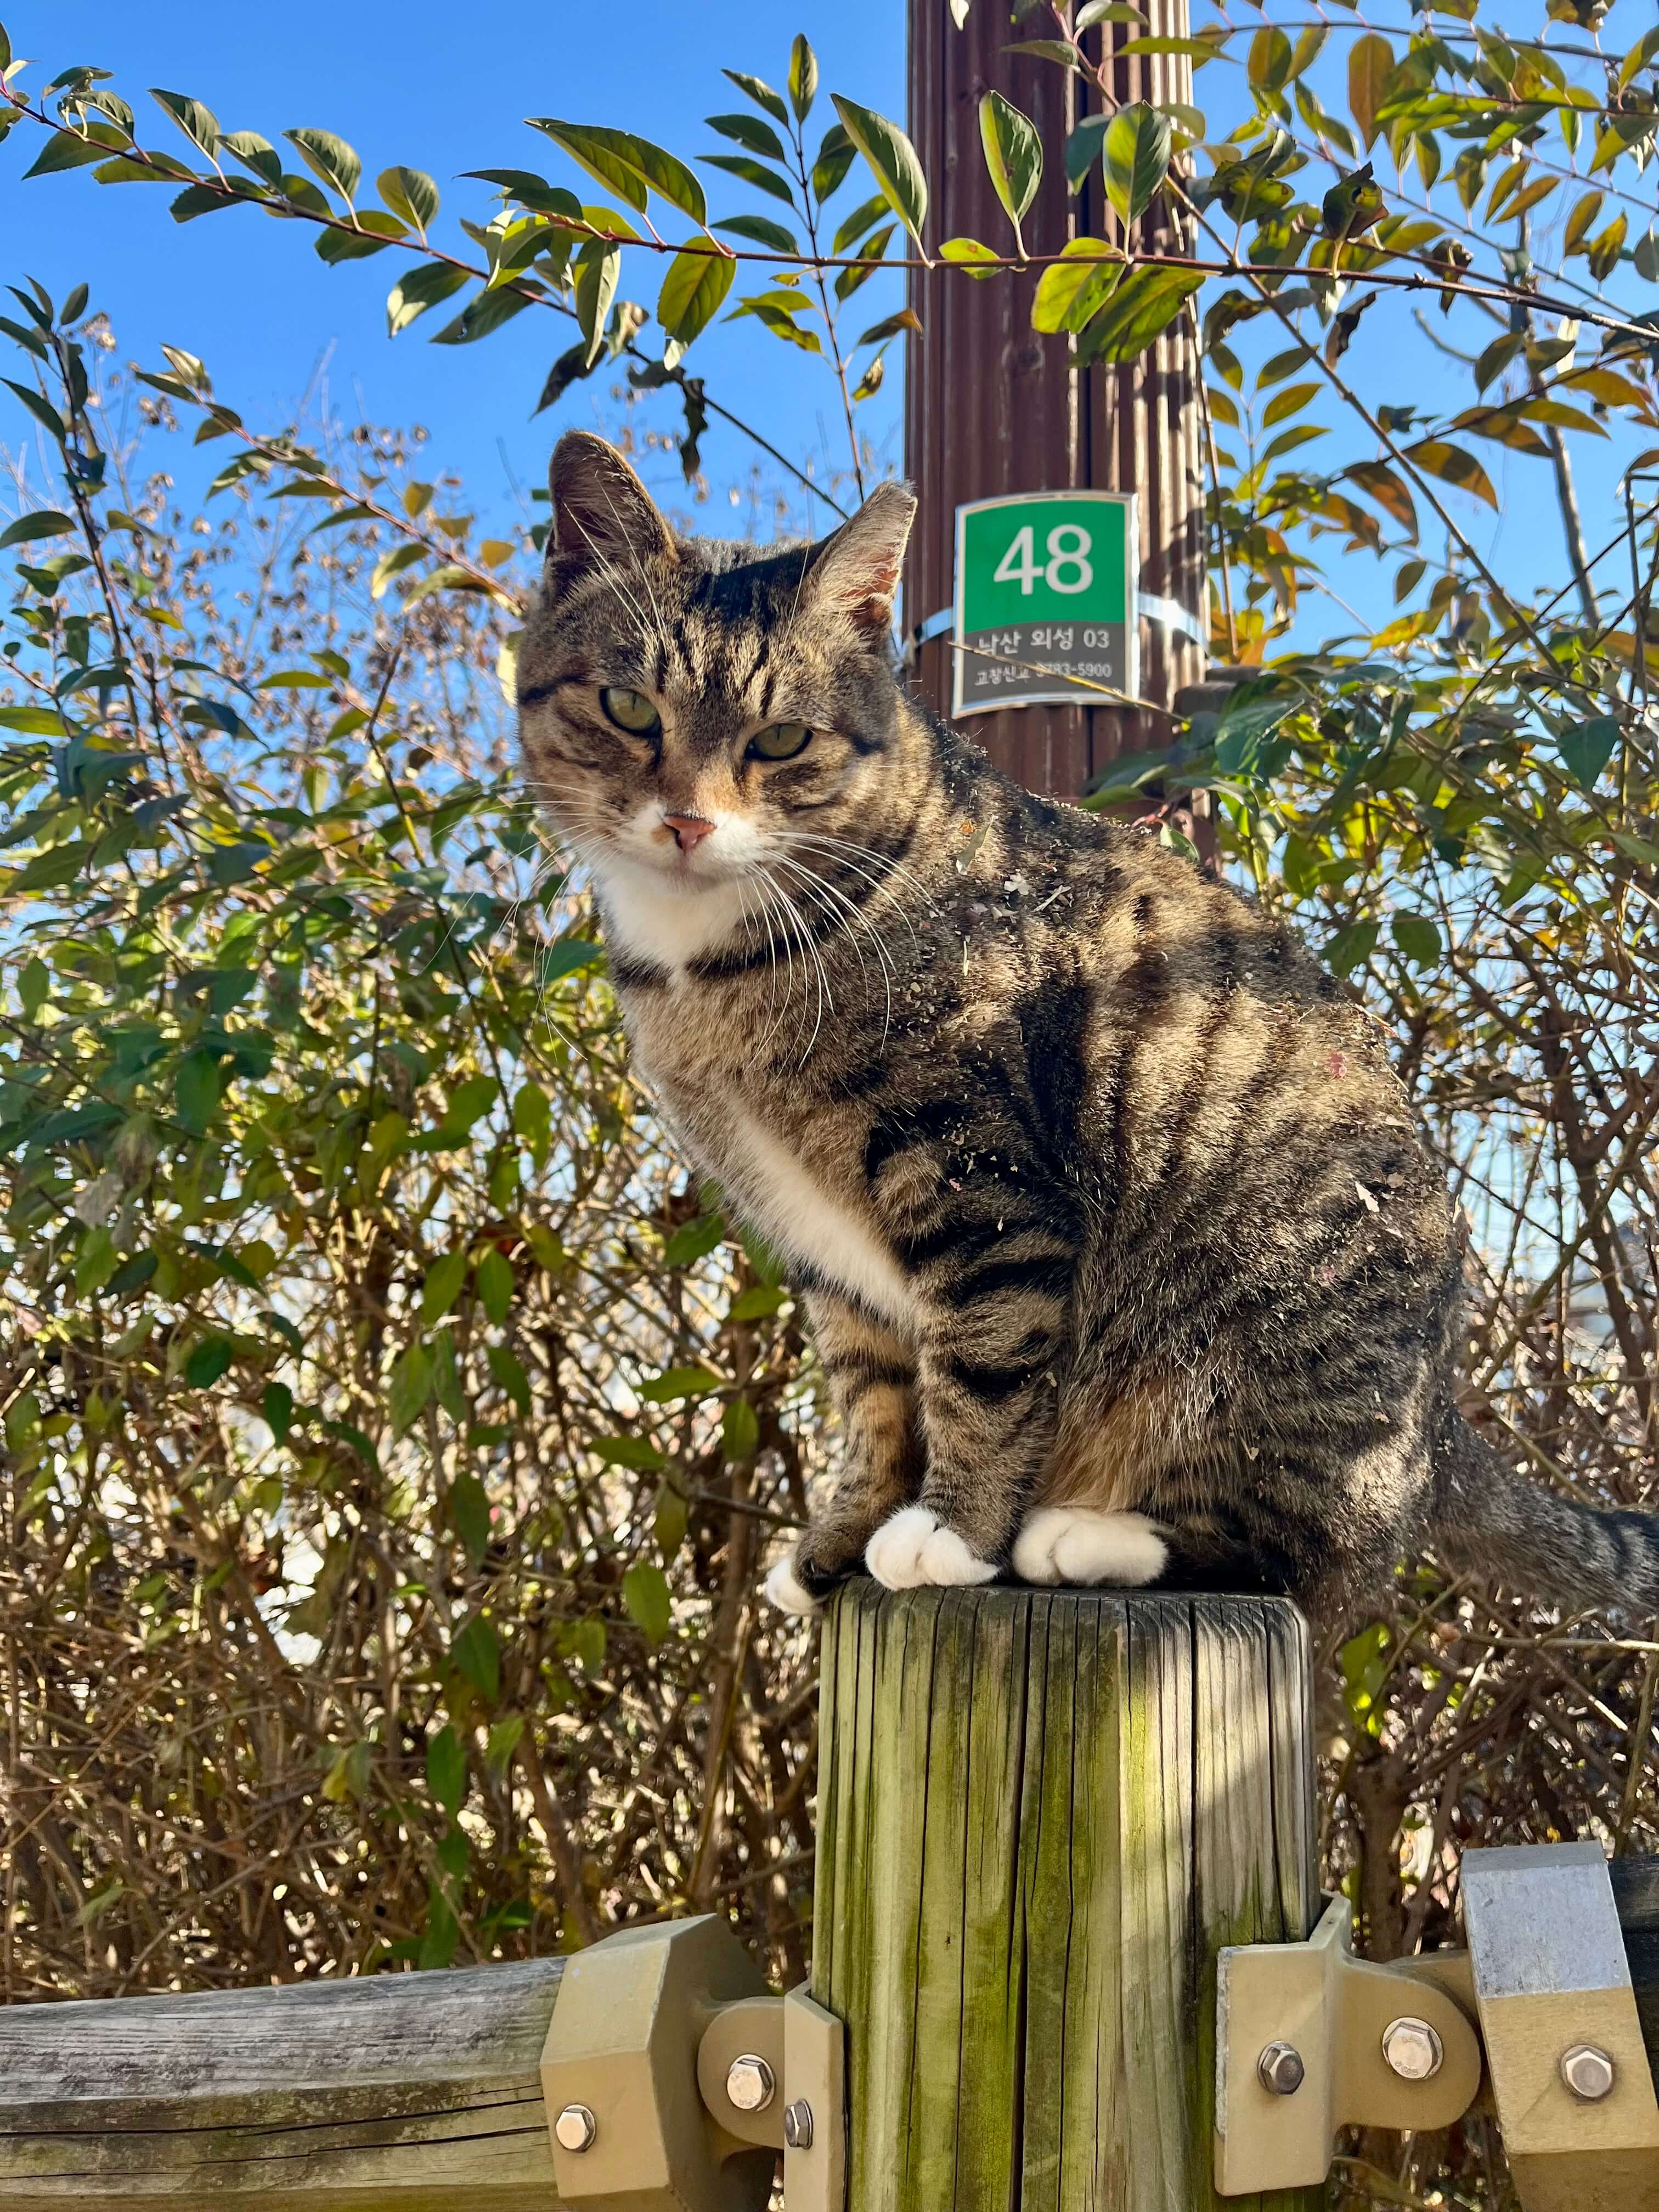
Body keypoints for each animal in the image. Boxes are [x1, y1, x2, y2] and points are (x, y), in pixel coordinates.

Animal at [522, 436, 1659, 1628]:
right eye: (627, 708)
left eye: (780, 738)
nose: (688, 823)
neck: (716, 959)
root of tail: (1439, 1419)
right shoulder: (828, 1259)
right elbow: (872, 1395)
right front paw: (843, 1536)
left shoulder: (975, 1177)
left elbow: (982, 1362)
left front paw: (949, 1532)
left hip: (1275, 1334)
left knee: (1312, 1561)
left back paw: (1088, 1536)